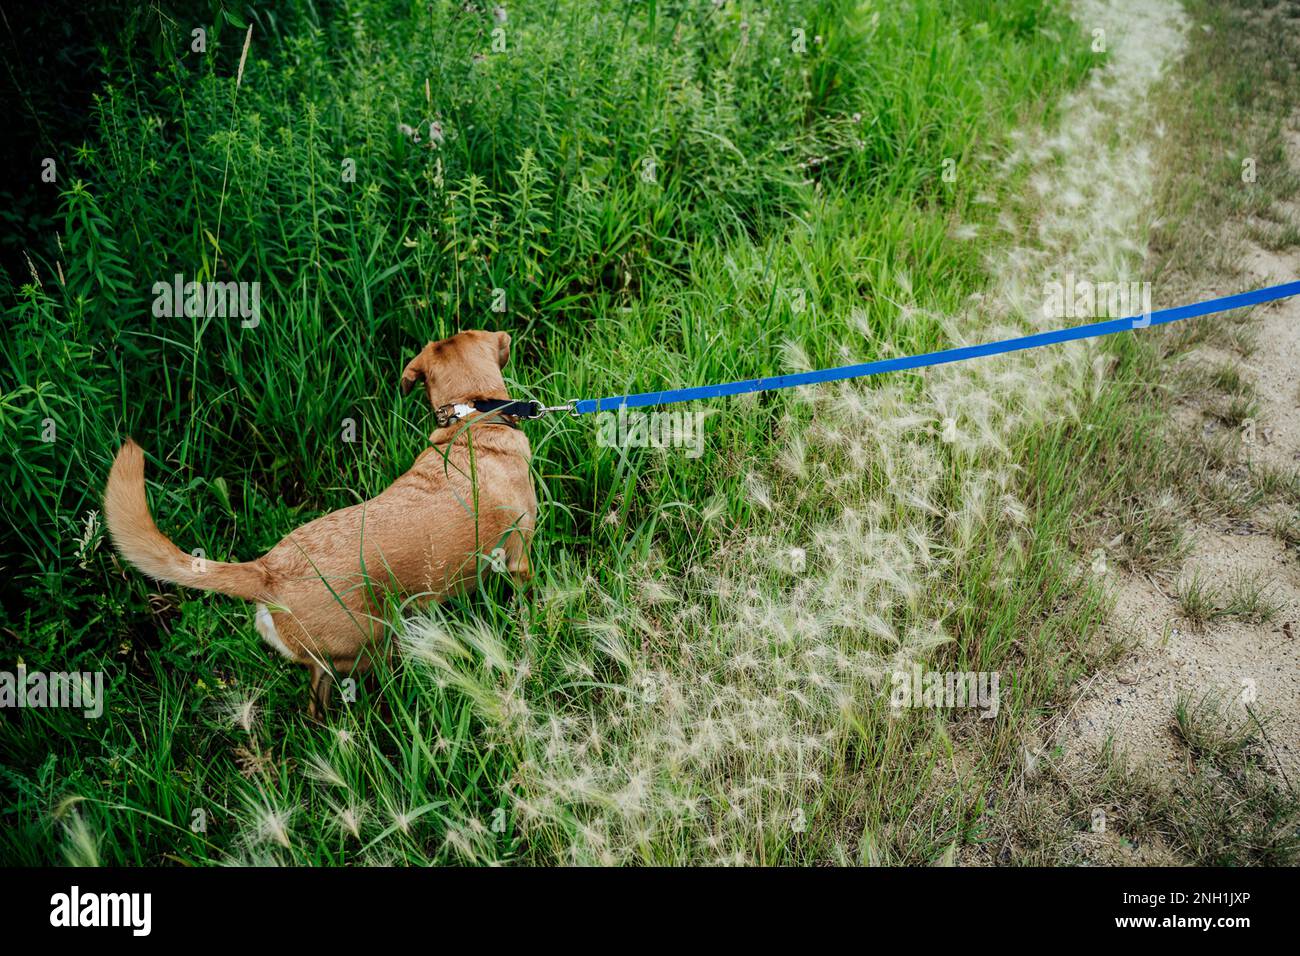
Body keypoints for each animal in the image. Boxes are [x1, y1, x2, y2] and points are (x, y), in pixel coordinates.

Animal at [101, 332, 538, 712]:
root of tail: (267, 571)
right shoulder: (519, 561)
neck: (472, 422)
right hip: (373, 644)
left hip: (333, 661)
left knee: (316, 706)